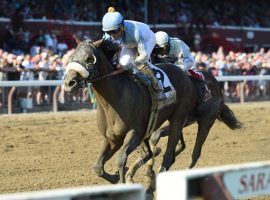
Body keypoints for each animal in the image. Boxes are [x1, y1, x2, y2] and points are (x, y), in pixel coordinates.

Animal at [63, 38, 243, 186]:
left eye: (89, 58)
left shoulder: (135, 133)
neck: (114, 100)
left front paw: (124, 178)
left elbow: (121, 159)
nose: (69, 83)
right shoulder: (112, 138)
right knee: (170, 146)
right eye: (72, 56)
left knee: (188, 154)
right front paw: (117, 177)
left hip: (194, 119)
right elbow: (98, 167)